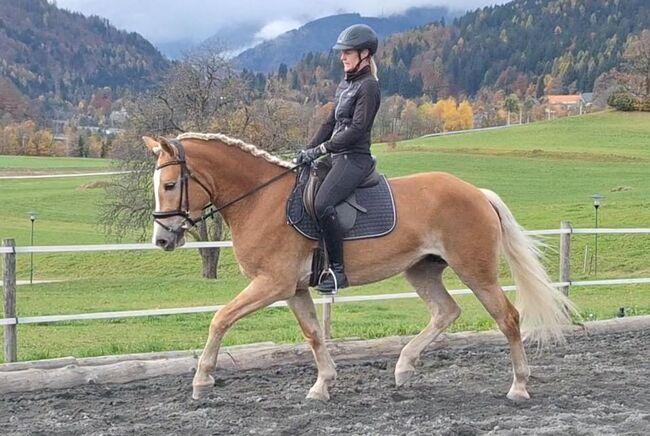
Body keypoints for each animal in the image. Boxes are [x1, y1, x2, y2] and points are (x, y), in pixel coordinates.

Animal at [143, 132, 576, 402]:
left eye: (169, 185)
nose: (162, 240)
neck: (261, 199)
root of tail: (477, 193)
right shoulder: (294, 288)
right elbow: (314, 334)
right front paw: (322, 386)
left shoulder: (272, 284)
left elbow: (220, 319)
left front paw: (202, 381)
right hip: (422, 269)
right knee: (446, 311)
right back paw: (403, 368)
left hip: (476, 270)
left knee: (508, 318)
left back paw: (519, 387)